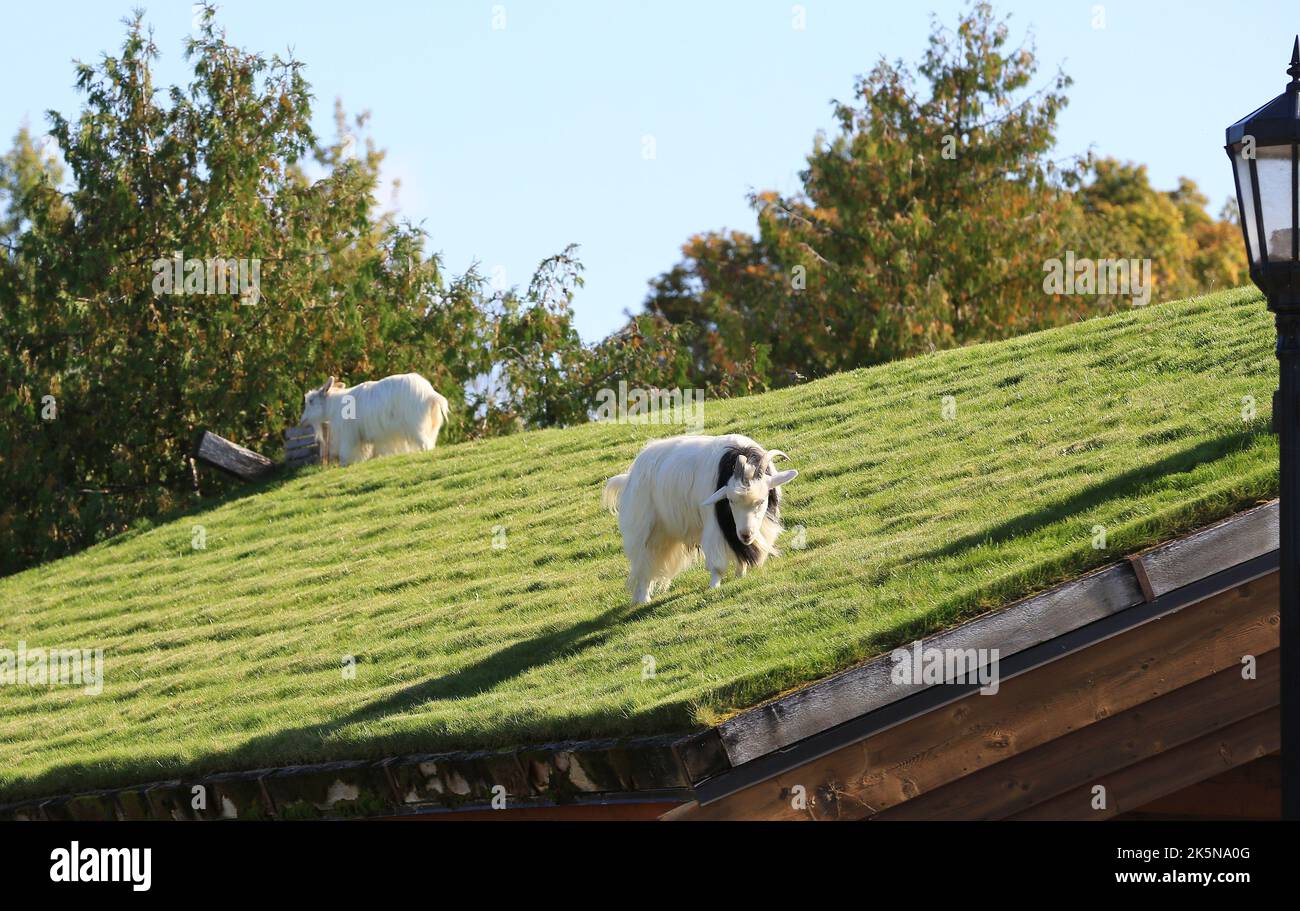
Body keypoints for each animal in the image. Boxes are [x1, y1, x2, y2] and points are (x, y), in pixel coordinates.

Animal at [299, 371, 452, 465]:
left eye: (311, 401)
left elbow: (345, 454)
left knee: (425, 445)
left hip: (416, 426)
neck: (336, 404)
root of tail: (430, 395)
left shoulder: (349, 435)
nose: (302, 421)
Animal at [603, 434, 795, 603]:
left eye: (762, 500)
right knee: (644, 562)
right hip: (645, 530)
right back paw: (643, 599)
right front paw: (714, 586)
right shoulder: (715, 523)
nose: (746, 535)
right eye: (730, 500)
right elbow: (717, 562)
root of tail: (628, 478)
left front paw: (741, 574)